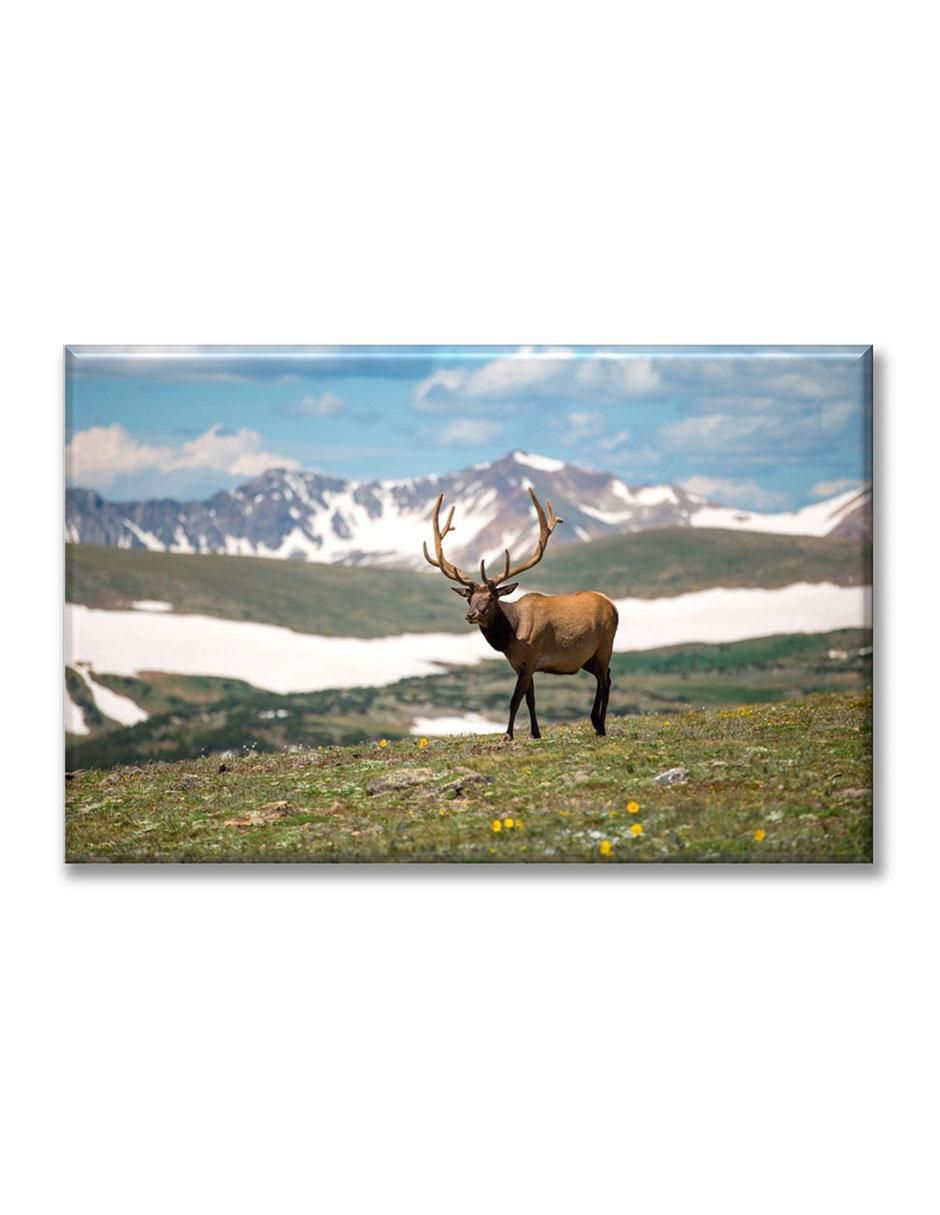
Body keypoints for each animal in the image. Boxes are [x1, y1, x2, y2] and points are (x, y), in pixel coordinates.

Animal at [423, 488, 619, 741]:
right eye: (469, 597)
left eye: (492, 598)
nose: (471, 614)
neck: (510, 636)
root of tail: (612, 605)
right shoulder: (521, 664)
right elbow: (530, 699)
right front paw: (535, 733)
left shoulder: (529, 657)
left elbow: (515, 699)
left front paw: (508, 734)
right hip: (586, 657)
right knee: (605, 677)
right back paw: (595, 721)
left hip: (605, 646)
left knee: (605, 680)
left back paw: (601, 726)